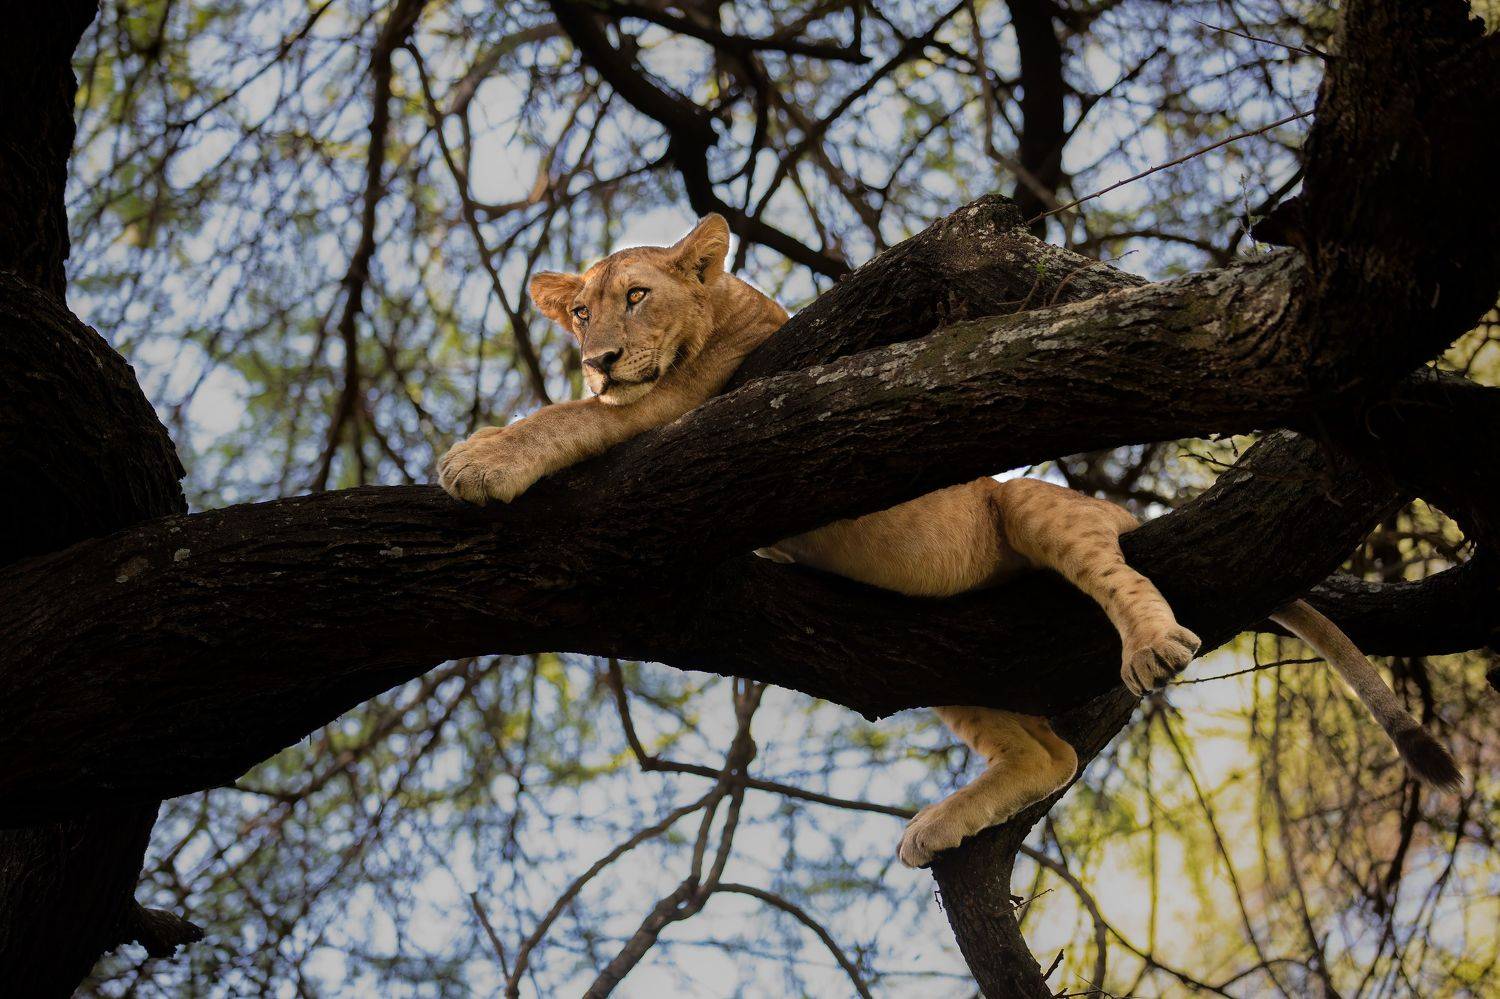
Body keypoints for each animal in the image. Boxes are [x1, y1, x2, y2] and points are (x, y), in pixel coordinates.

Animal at [439, 215, 1461, 867]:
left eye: (638, 297)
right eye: (580, 311)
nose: (599, 356)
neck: (730, 310)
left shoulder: (699, 398)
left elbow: (572, 417)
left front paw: (479, 458)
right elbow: (579, 412)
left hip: (1031, 509)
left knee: (1111, 576)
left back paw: (1151, 646)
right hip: (941, 655)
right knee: (1046, 755)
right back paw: (935, 825)